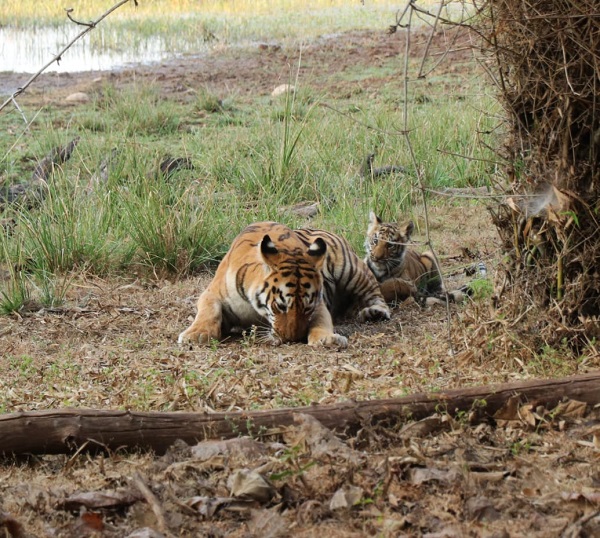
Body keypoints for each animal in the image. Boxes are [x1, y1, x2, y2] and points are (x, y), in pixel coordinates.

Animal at [178, 219, 392, 348]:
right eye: (279, 306)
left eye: (307, 307)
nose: (293, 339)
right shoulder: (212, 293)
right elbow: (209, 310)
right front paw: (196, 334)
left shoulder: (319, 303)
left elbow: (322, 321)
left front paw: (326, 338)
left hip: (352, 270)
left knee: (375, 293)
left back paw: (376, 312)